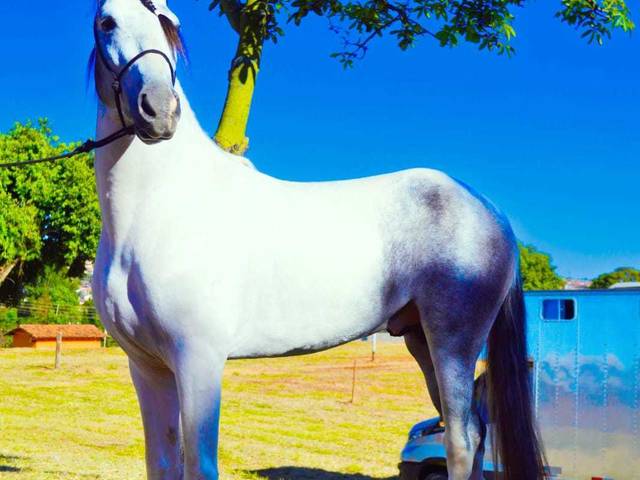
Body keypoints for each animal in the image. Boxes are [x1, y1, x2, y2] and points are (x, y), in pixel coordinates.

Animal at [90, 1, 545, 478]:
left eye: (168, 23)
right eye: (107, 22)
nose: (159, 109)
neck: (164, 208)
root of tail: (491, 212)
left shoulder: (198, 362)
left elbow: (200, 464)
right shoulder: (147, 367)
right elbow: (161, 461)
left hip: (453, 342)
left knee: (461, 440)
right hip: (421, 340)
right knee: (475, 431)